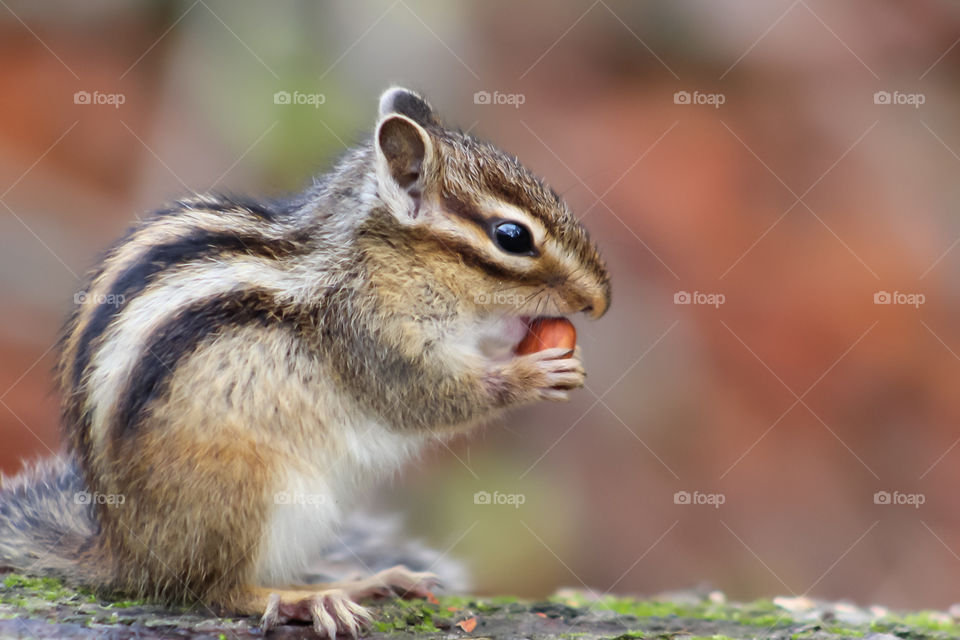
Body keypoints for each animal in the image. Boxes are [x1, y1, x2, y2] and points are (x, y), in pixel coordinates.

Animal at [0, 87, 610, 636]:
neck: (384, 260)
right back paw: (310, 599)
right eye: (512, 236)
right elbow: (426, 399)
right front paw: (532, 375)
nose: (599, 301)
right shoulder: (368, 335)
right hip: (249, 493)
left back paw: (367, 581)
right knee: (214, 590)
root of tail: (128, 554)